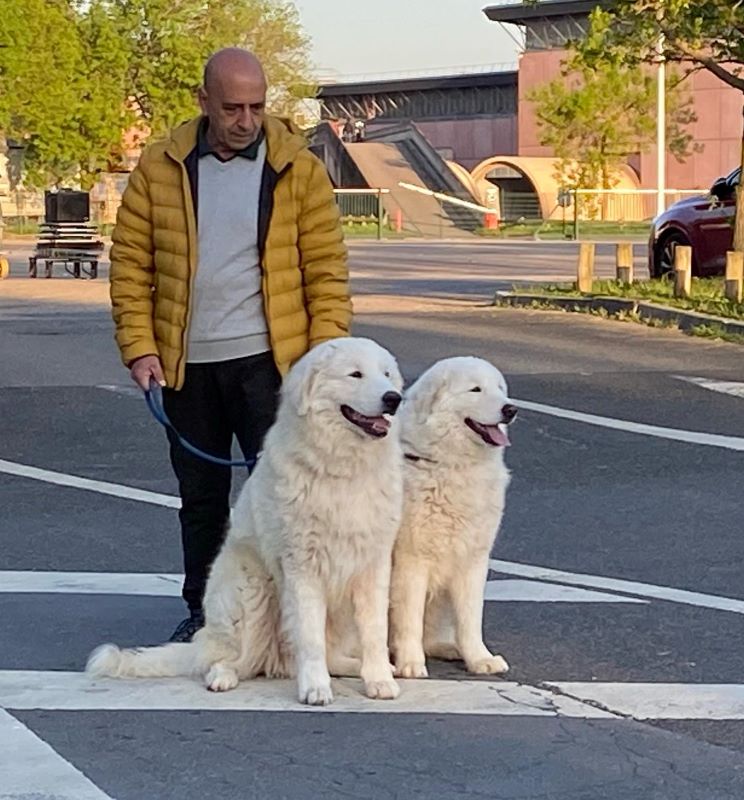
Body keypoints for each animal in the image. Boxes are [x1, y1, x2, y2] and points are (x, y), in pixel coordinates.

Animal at [88, 338, 406, 708]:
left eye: (387, 374)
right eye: (355, 374)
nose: (393, 399)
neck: (344, 469)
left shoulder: (374, 565)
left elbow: (374, 632)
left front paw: (379, 680)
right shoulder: (302, 566)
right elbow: (310, 638)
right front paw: (315, 688)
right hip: (253, 591)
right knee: (226, 658)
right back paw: (222, 677)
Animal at [390, 360, 516, 680]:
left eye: (500, 388)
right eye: (476, 389)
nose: (511, 409)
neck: (452, 465)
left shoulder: (473, 560)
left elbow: (470, 617)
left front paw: (480, 659)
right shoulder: (412, 560)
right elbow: (409, 617)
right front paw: (411, 663)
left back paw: (450, 648)